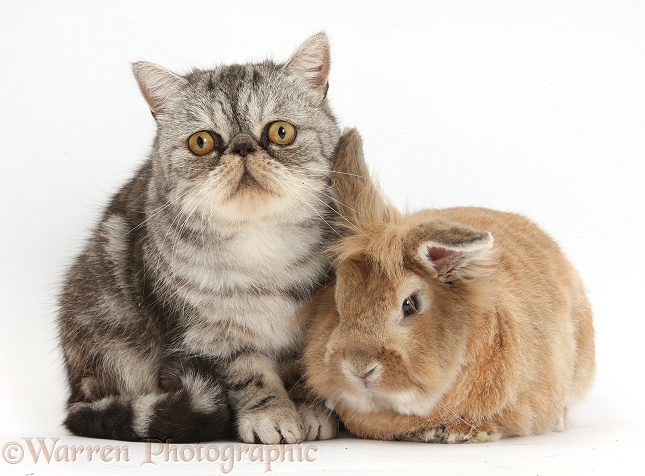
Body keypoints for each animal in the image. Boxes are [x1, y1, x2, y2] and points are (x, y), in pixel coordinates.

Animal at [58, 34, 340, 446]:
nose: (242, 147)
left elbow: (305, 373)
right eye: (202, 142)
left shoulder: (316, 321)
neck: (259, 244)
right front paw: (270, 415)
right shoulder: (210, 334)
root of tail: (74, 390)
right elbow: (251, 376)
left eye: (280, 132)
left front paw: (310, 410)